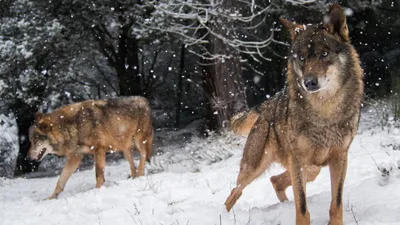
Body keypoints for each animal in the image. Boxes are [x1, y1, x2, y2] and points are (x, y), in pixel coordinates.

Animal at [26, 96, 154, 200]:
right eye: (30, 141)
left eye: (35, 141)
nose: (27, 158)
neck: (73, 127)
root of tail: (144, 100)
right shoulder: (75, 157)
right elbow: (60, 181)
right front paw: (50, 198)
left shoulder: (99, 150)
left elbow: (98, 175)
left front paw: (97, 191)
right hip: (124, 149)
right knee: (133, 166)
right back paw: (134, 178)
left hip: (138, 141)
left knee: (143, 154)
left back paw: (141, 173)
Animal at [223, 3, 364, 225]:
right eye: (302, 57)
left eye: (325, 54)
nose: (310, 82)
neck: (325, 111)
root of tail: (266, 106)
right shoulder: (298, 160)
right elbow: (303, 208)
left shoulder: (341, 157)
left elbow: (336, 203)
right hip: (254, 168)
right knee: (234, 192)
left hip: (307, 167)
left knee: (275, 180)